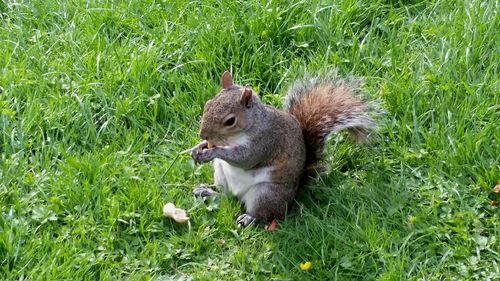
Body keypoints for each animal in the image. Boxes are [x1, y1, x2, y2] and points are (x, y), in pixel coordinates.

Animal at [191, 71, 376, 226]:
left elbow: (245, 159)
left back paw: (249, 218)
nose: (202, 134)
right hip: (221, 174)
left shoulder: (265, 141)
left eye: (230, 121)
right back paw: (206, 192)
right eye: (207, 104)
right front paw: (197, 149)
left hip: (266, 194)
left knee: (264, 214)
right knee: (226, 197)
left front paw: (212, 152)